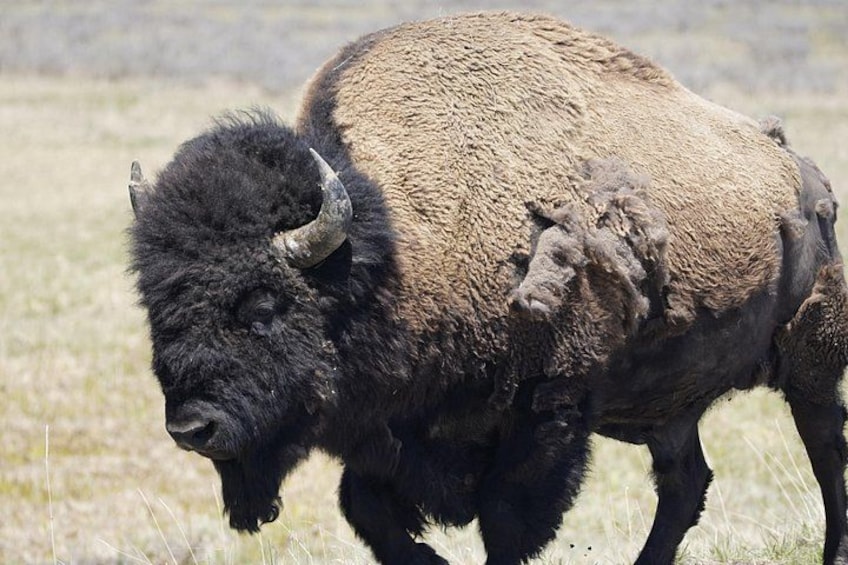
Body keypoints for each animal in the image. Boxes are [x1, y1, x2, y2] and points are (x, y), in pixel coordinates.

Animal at [128, 11, 848, 565]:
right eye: (156, 308)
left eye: (263, 304)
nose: (192, 426)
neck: (393, 253)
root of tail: (799, 168)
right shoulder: (383, 431)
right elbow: (368, 512)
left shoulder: (545, 413)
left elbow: (505, 525)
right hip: (669, 405)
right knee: (685, 484)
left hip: (810, 358)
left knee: (825, 452)